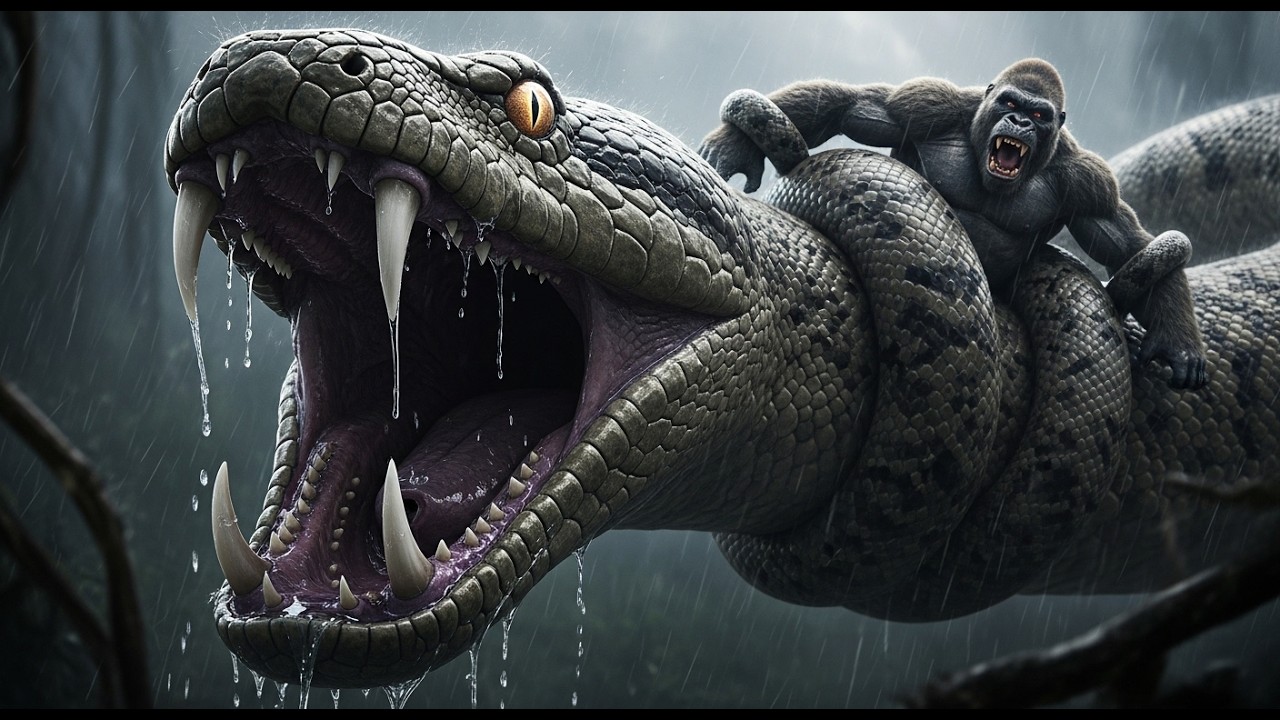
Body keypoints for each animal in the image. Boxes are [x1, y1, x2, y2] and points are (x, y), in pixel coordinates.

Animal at [699, 58, 1208, 390]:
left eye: (1039, 114)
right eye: (1010, 102)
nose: (1020, 122)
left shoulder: (1088, 181)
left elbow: (1128, 246)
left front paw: (1179, 341)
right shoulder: (927, 105)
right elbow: (857, 107)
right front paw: (737, 142)